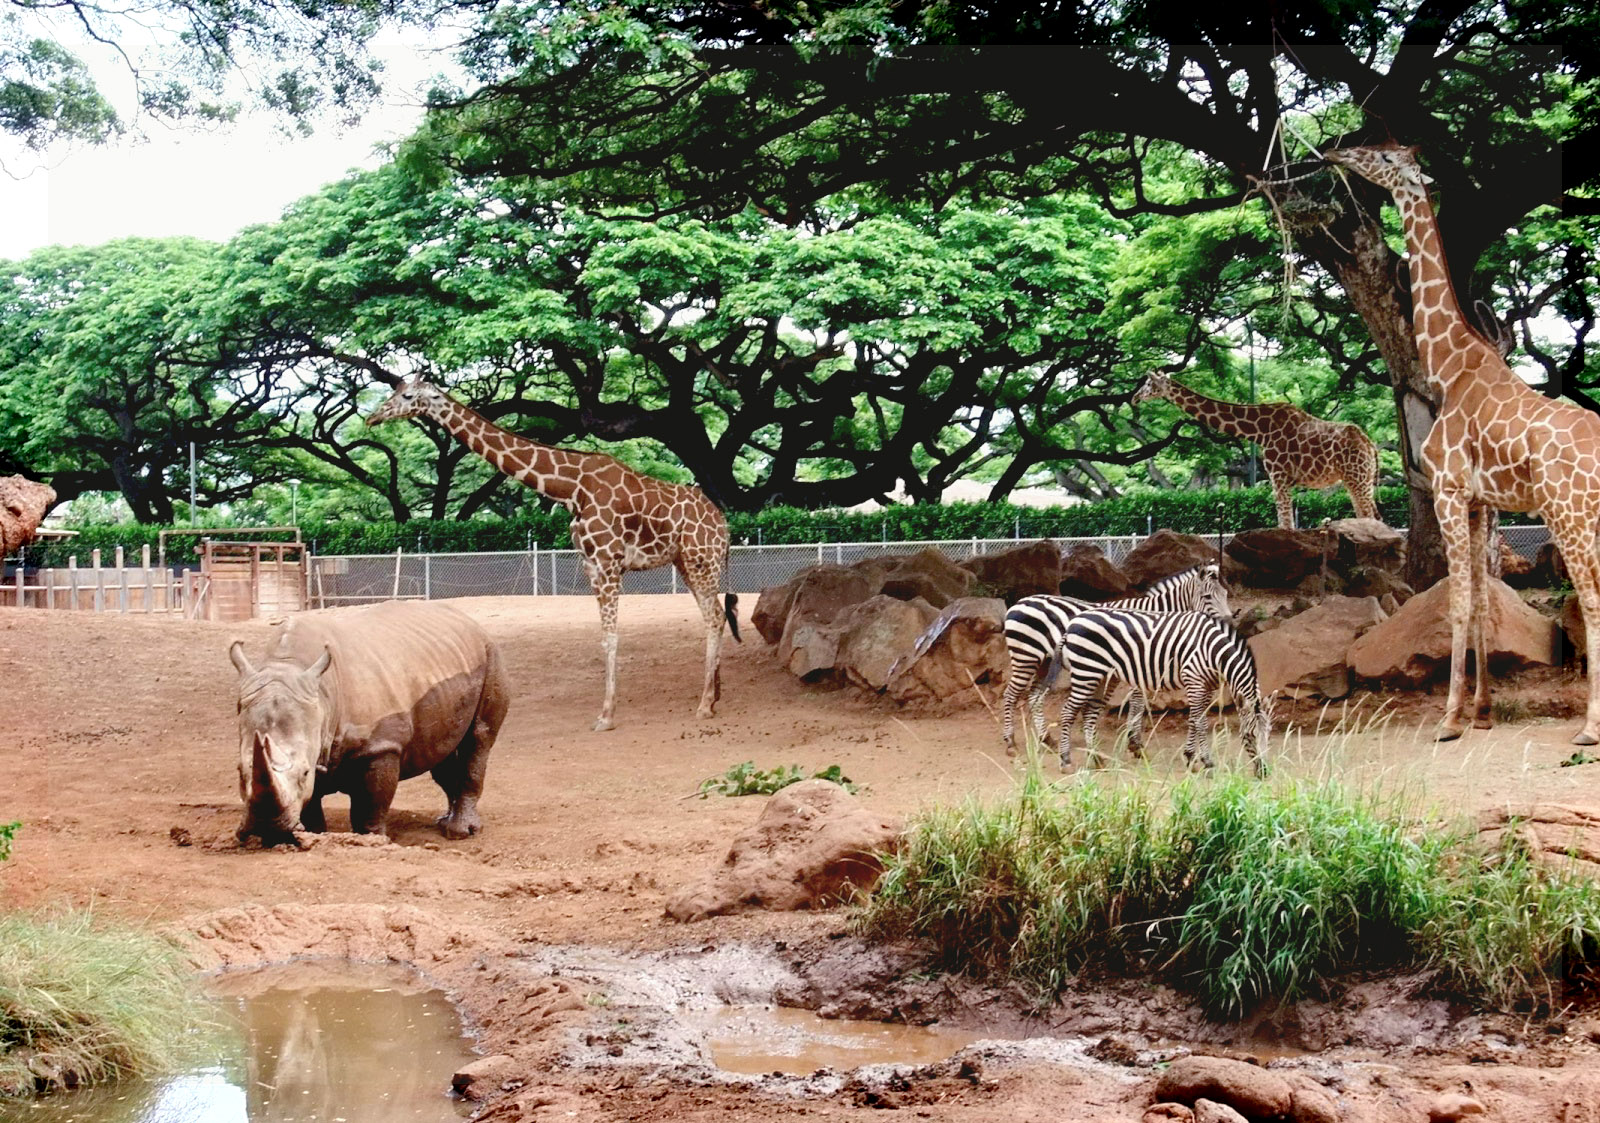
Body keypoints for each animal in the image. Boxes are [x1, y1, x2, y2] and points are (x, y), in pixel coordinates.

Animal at [368, 374, 736, 735]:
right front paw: (607, 712)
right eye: (397, 390)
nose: (373, 417)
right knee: (715, 615)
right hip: (687, 562)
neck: (571, 488)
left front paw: (606, 716)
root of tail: (723, 524)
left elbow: (610, 637)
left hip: (701, 559)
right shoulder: (590, 564)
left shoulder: (607, 561)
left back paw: (704, 705)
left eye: (407, 396)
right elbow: (605, 636)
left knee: (715, 617)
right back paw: (715, 696)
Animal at [998, 563, 1235, 755]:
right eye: (1207, 597)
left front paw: (1134, 742)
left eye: (1225, 594)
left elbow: (1139, 704)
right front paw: (1135, 744)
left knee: (1034, 697)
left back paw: (1046, 740)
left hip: (1044, 662)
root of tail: (1020, 602)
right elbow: (1138, 704)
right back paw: (1010, 743)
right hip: (1025, 657)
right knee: (1010, 695)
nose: (1227, 625)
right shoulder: (1140, 663)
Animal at [1049, 611, 1273, 777]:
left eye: (1268, 735)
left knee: (1089, 714)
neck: (1214, 651)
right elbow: (1200, 722)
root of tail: (1071, 624)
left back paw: (1095, 758)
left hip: (1103, 677)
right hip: (1086, 672)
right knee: (1068, 713)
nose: (1264, 772)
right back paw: (1065, 760)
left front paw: (1190, 757)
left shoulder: (1207, 687)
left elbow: (1193, 720)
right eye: (1250, 736)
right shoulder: (1194, 680)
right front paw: (1207, 762)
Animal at [1132, 369, 1382, 527]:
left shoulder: (1278, 474)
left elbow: (1285, 523)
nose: (1134, 398)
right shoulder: (1280, 477)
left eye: (1148, 383)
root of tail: (1371, 446)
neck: (1259, 431)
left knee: (1370, 516)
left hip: (1358, 478)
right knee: (1371, 517)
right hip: (1358, 480)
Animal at [1318, 143, 1600, 748]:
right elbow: (1481, 600)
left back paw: (1589, 728)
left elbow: (1457, 603)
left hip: (1567, 513)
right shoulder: (1476, 503)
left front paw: (1449, 719)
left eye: (1382, 157)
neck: (1448, 366)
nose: (1336, 149)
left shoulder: (1447, 490)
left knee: (1591, 596)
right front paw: (1482, 712)